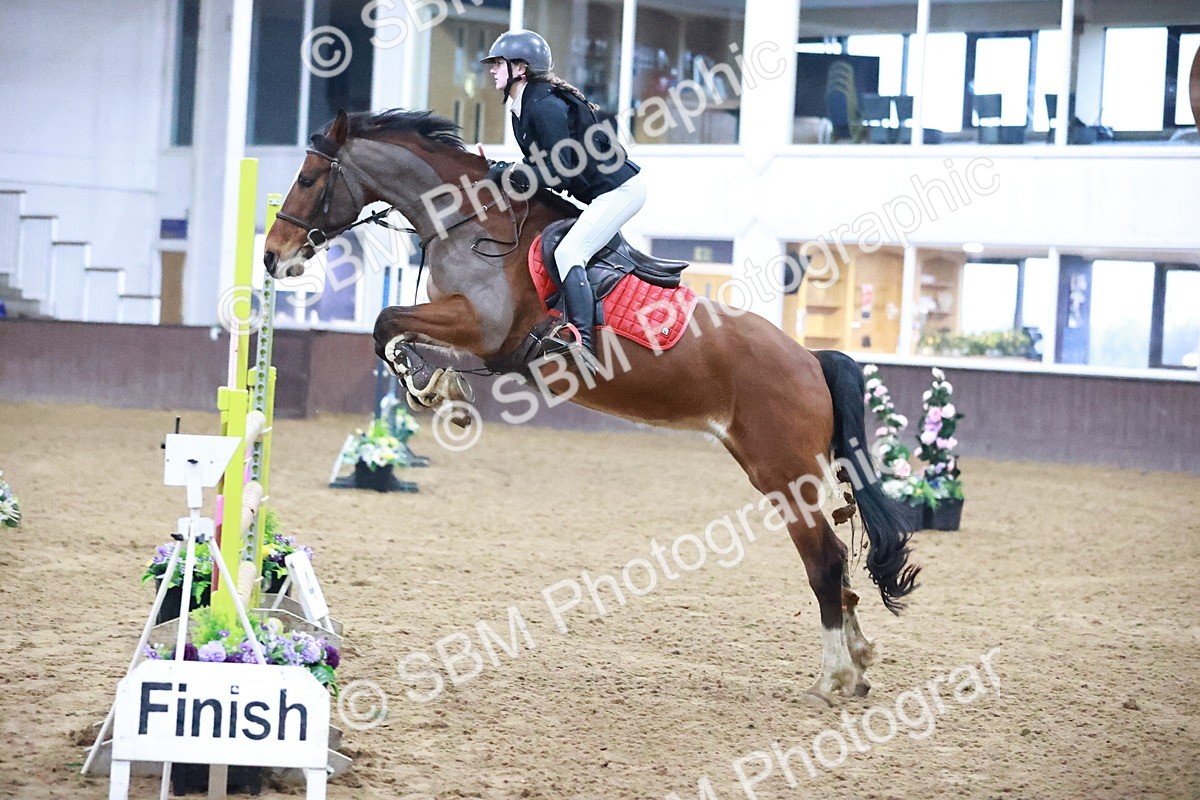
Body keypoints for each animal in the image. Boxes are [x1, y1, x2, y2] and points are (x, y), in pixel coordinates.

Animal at [263, 109, 919, 703]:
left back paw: (835, 677)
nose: (273, 256)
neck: (469, 221)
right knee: (836, 562)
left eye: (308, 179)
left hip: (784, 474)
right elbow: (392, 331)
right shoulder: (472, 335)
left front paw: (431, 388)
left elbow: (385, 320)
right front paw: (438, 389)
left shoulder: (482, 327)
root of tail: (810, 359)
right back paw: (859, 664)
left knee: (826, 562)